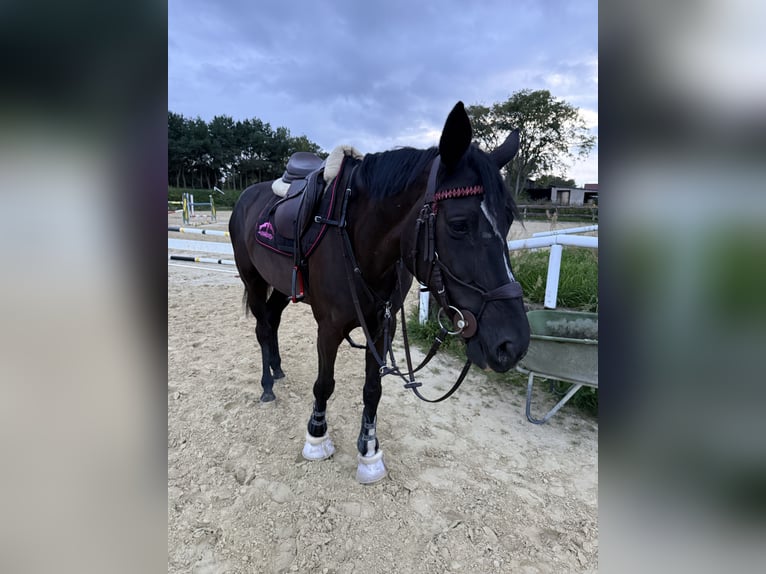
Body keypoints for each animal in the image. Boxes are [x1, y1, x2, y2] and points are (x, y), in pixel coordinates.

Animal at [229, 101, 530, 483]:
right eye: (459, 225)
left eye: (508, 220)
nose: (513, 345)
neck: (357, 236)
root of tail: (246, 196)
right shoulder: (329, 328)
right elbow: (324, 384)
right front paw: (317, 438)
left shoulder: (381, 324)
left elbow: (373, 389)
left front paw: (369, 451)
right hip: (252, 279)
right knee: (262, 327)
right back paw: (267, 384)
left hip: (283, 286)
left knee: (272, 320)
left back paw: (278, 370)